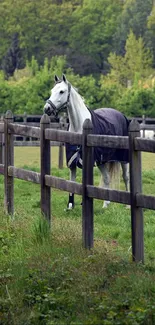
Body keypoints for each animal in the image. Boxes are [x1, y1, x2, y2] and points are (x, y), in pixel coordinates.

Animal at [43, 74, 130, 209]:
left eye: (62, 91)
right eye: (52, 91)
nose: (47, 108)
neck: (79, 126)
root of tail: (121, 115)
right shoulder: (72, 162)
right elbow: (71, 182)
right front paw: (70, 206)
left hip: (123, 159)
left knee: (125, 177)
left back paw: (127, 206)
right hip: (102, 161)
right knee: (107, 177)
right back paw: (106, 204)